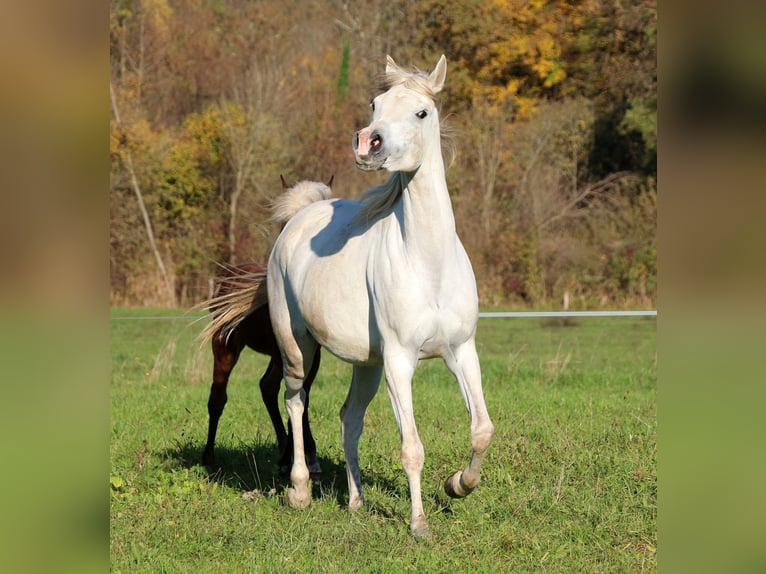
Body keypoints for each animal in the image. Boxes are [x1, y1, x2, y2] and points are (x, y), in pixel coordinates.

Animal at [198, 179, 333, 473]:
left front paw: (307, 457)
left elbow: (301, 395)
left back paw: (284, 451)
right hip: (225, 347)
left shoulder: (312, 357)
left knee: (267, 388)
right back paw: (209, 457)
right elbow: (296, 395)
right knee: (218, 397)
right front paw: (304, 458)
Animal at [265, 55, 495, 536]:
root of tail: (298, 218)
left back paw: (356, 501)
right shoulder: (400, 362)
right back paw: (300, 491)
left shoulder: (461, 352)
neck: (428, 263)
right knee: (294, 400)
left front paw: (458, 485)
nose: (367, 143)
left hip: (366, 365)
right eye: (376, 104)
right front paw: (419, 524)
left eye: (421, 112)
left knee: (349, 418)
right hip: (297, 347)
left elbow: (482, 429)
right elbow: (412, 448)